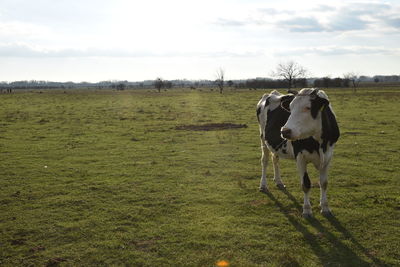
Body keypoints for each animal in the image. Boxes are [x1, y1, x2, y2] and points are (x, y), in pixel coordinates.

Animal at [256, 88, 340, 218]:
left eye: (308, 107)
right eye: (290, 108)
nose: (284, 131)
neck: (320, 142)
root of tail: (271, 93)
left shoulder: (328, 157)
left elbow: (324, 183)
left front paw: (325, 207)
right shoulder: (300, 157)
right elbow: (306, 184)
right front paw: (307, 209)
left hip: (274, 145)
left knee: (275, 159)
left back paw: (279, 181)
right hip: (263, 139)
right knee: (264, 161)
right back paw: (263, 185)